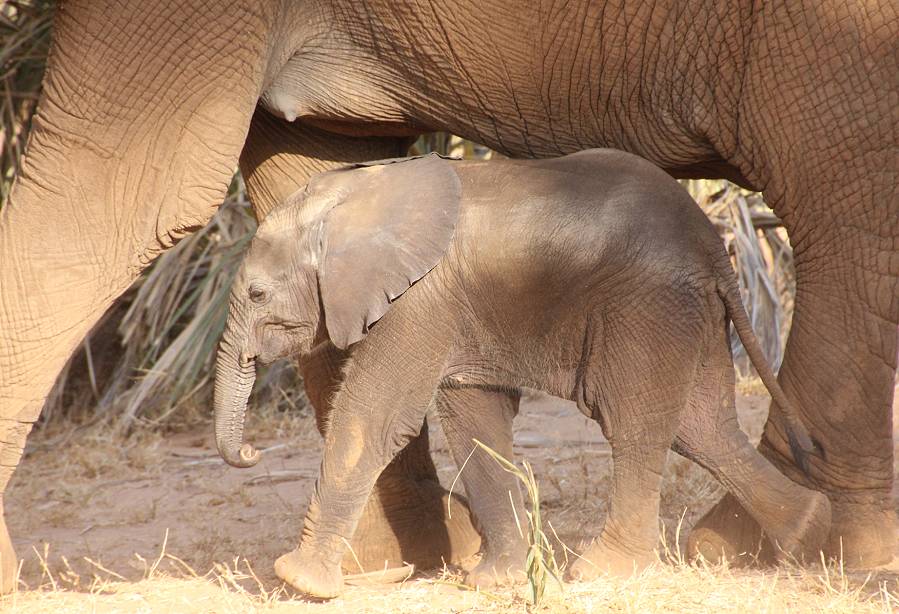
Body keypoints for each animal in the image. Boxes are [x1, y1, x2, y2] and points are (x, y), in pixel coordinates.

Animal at [214, 150, 832, 600]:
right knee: (704, 429)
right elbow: (474, 422)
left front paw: (299, 581)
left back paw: (604, 573)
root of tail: (713, 244)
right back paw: (807, 534)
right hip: (686, 312)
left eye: (257, 294)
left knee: (635, 426)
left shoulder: (419, 302)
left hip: (646, 307)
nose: (248, 454)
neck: (353, 199)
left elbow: (374, 417)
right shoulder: (453, 312)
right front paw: (495, 581)